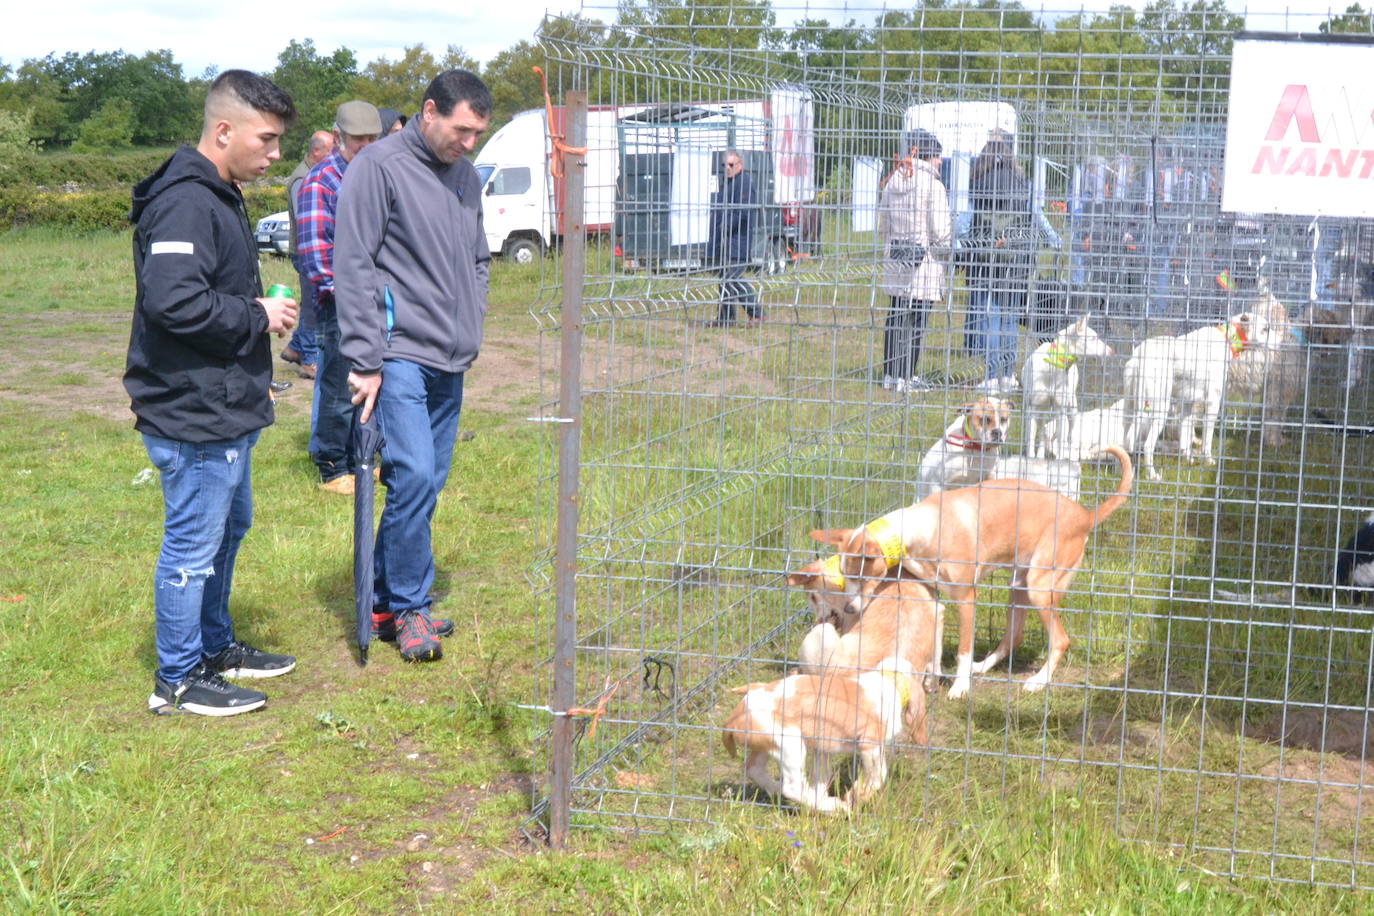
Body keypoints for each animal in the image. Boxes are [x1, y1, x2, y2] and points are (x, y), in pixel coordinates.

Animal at [719, 659, 923, 818]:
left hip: (766, 745)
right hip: (790, 743)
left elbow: (822, 776)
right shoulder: (869, 743)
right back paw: (834, 807)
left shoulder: (822, 749)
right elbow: (878, 775)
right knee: (792, 787)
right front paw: (855, 797)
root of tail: (732, 717)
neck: (888, 679)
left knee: (754, 769)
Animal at [1022, 315, 1115, 458]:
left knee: (1068, 435)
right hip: (1040, 411)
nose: (1111, 351)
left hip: (1071, 409)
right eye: (1093, 338)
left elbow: (1061, 439)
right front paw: (1031, 458)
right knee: (1042, 431)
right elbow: (1031, 439)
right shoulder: (1033, 409)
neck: (1052, 367)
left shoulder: (1061, 409)